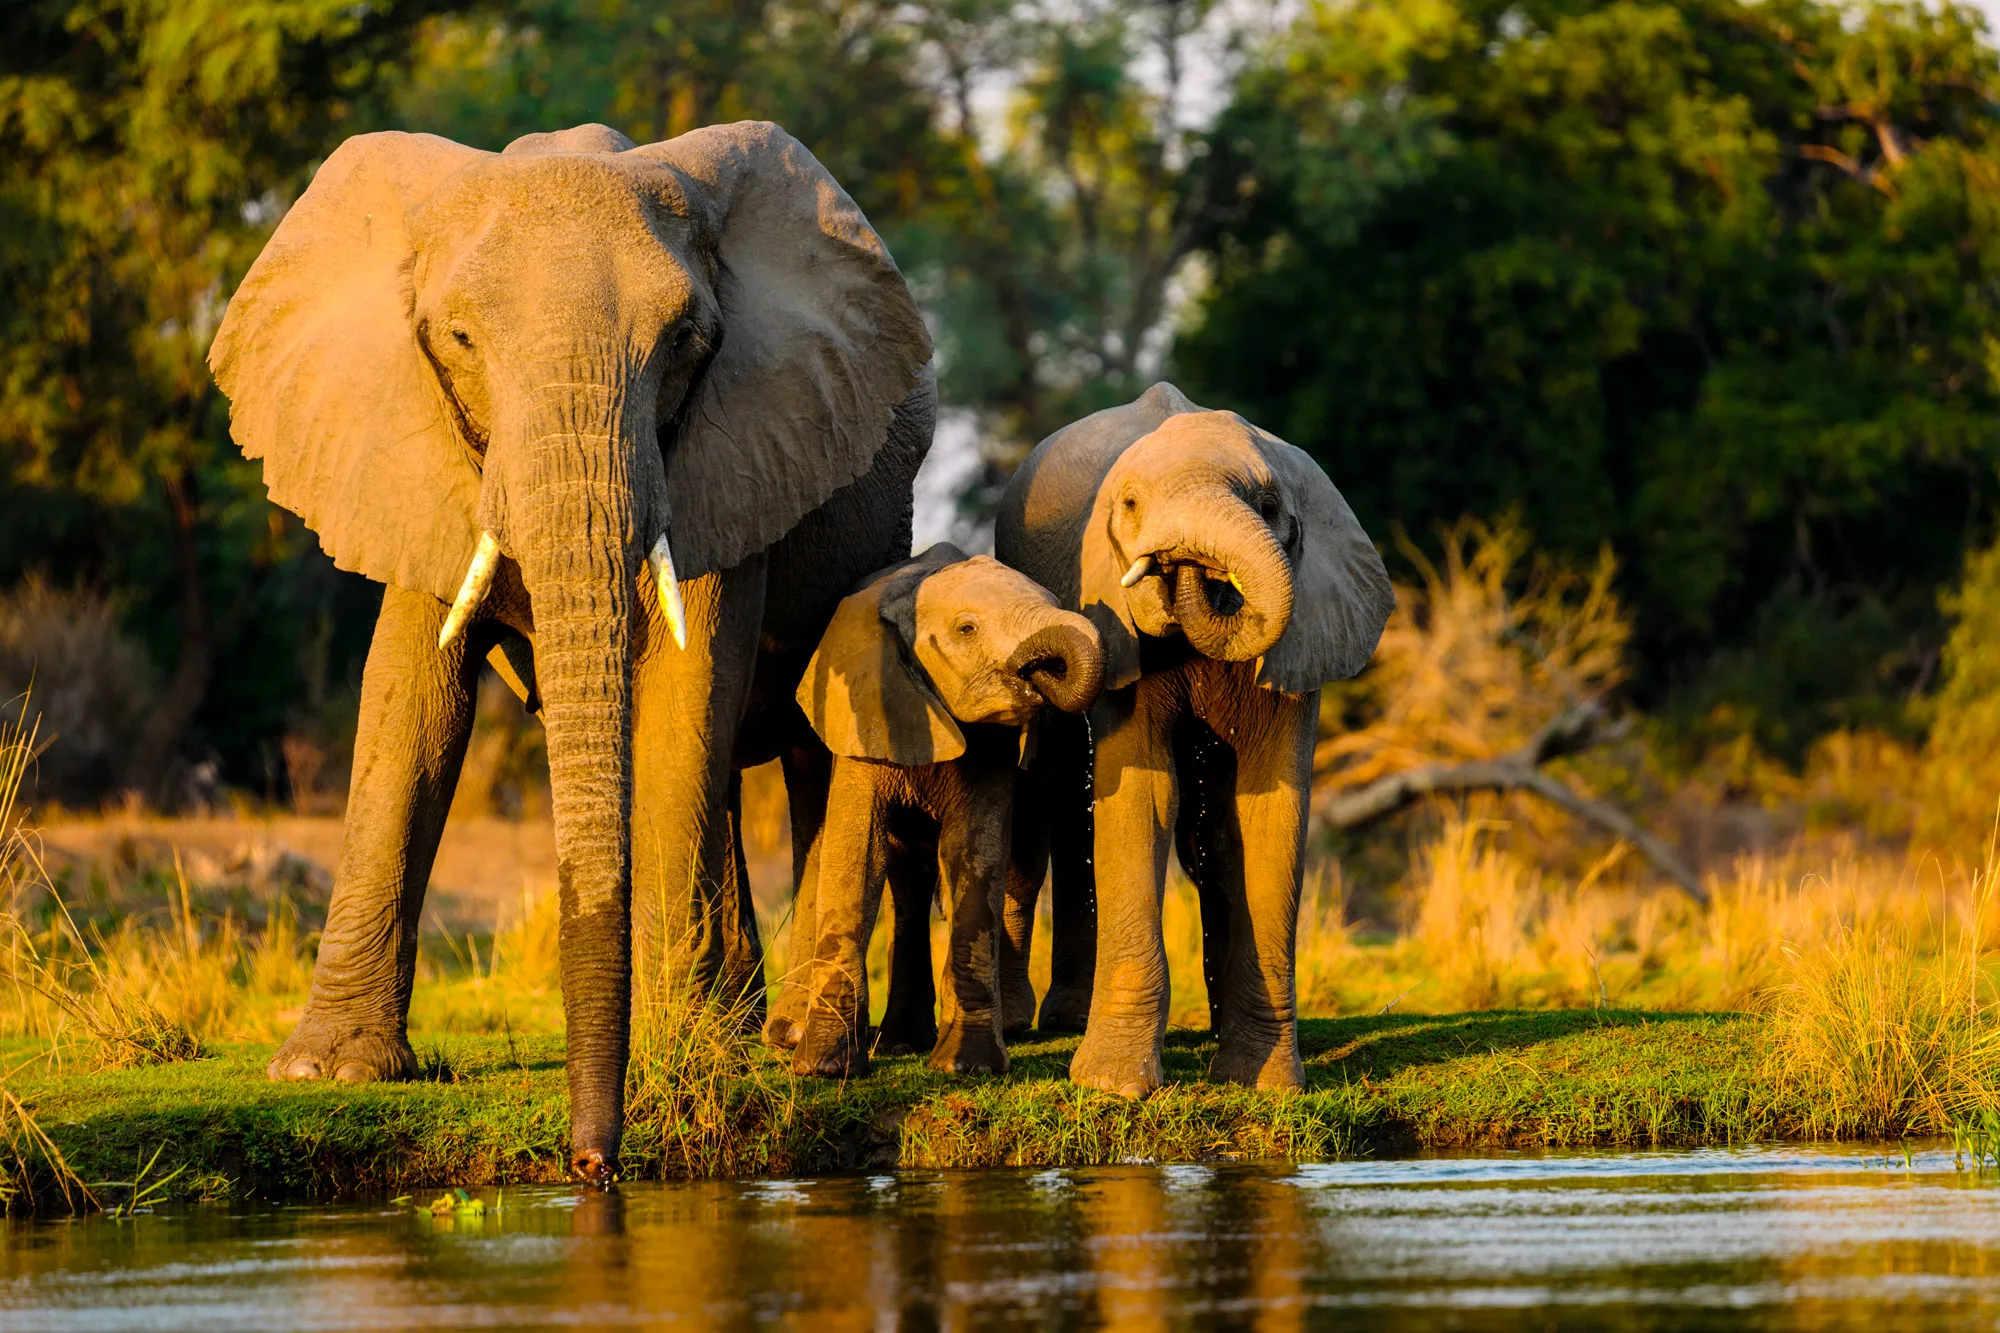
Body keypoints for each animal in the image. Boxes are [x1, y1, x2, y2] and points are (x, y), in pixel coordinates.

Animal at [207, 119, 934, 1180]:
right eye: (460, 340)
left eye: (686, 341)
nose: (591, 1164)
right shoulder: (409, 447)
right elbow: (410, 705)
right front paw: (326, 1073)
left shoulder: (732, 447)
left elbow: (684, 688)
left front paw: (680, 1050)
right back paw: (739, 1021)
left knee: (809, 752)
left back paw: (796, 1043)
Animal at [785, 543, 1104, 1078]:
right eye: (966, 629)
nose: (1043, 673)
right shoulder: (865, 712)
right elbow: (856, 855)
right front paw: (826, 1068)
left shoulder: (993, 743)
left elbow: (973, 856)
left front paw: (966, 1069)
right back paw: (884, 1044)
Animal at [993, 382, 1394, 1097]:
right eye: (1129, 506)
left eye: (1269, 508)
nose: (1183, 563)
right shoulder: (1114, 624)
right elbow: (1142, 794)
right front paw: (1113, 1087)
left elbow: (1268, 812)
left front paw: (1265, 1084)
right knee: (1054, 797)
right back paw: (1039, 1024)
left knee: (1202, 836)